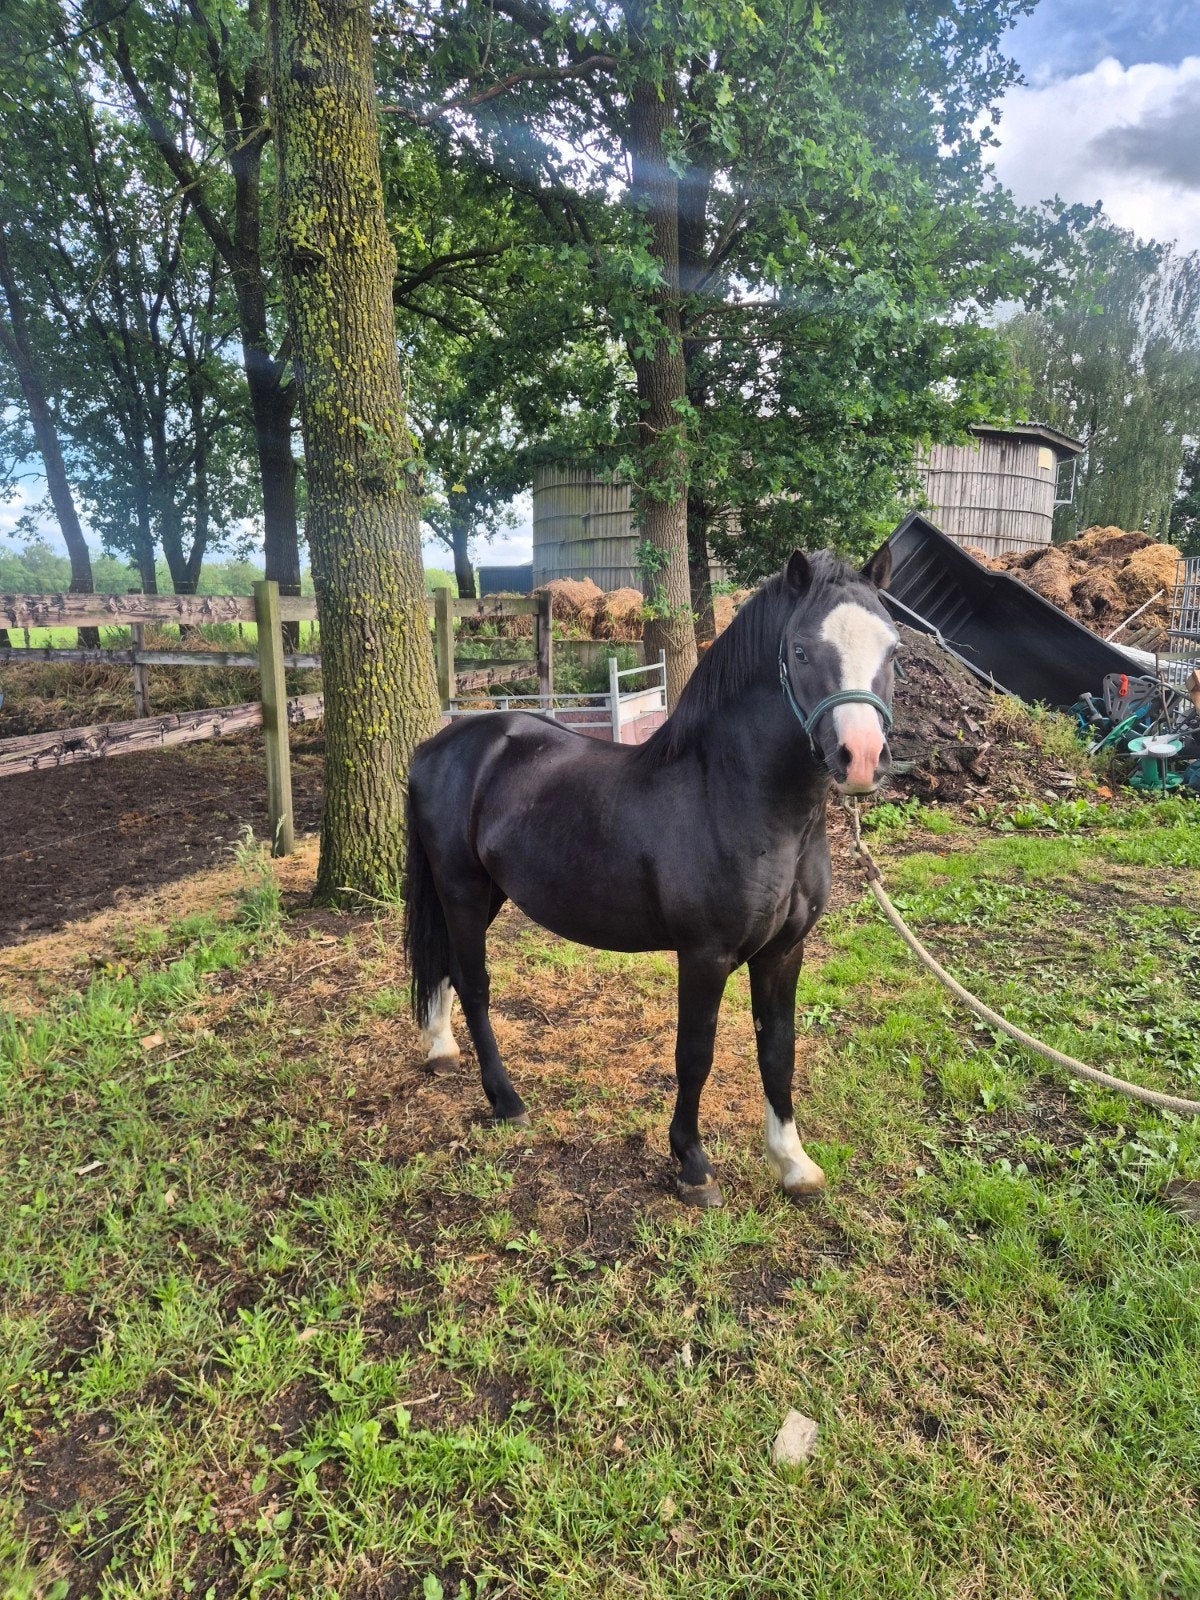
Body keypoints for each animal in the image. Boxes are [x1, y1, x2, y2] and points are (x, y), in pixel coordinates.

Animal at [403, 547, 897, 1207]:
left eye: (892, 648)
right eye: (800, 651)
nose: (861, 758)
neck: (735, 798)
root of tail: (439, 744)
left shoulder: (784, 952)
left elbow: (778, 1050)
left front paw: (793, 1163)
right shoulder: (705, 955)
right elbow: (695, 1054)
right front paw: (692, 1164)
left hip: (486, 894)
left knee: (444, 969)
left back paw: (440, 1049)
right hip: (460, 888)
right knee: (473, 982)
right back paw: (505, 1100)